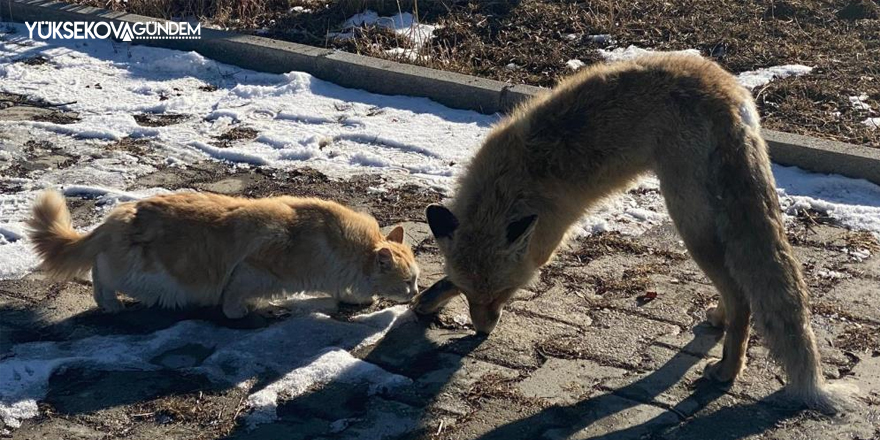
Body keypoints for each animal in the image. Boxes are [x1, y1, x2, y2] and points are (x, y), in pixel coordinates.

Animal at [416, 53, 856, 414]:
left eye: (503, 294)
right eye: (473, 295)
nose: (482, 331)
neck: (508, 185)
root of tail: (728, 92)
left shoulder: (544, 240)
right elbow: (443, 279)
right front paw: (429, 299)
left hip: (689, 223)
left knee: (742, 295)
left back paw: (729, 369)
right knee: (738, 291)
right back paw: (719, 320)